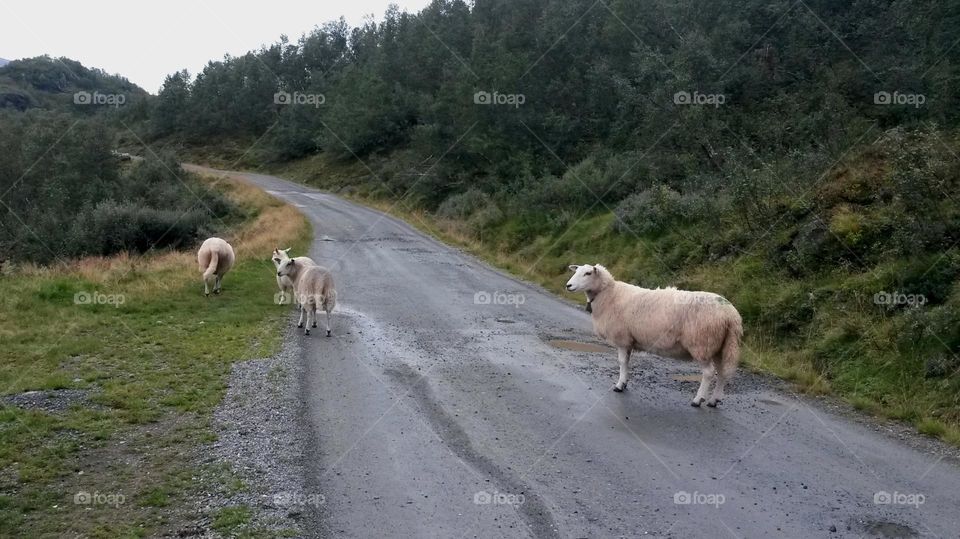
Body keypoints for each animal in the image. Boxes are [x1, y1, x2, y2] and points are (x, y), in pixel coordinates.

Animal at [566, 264, 742, 407]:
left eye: (588, 273)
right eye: (577, 271)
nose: (568, 285)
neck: (609, 294)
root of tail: (731, 315)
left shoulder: (622, 339)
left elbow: (622, 362)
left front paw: (619, 385)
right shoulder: (629, 340)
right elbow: (627, 362)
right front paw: (625, 383)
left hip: (702, 343)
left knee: (709, 373)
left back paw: (698, 400)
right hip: (721, 346)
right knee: (722, 372)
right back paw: (714, 400)